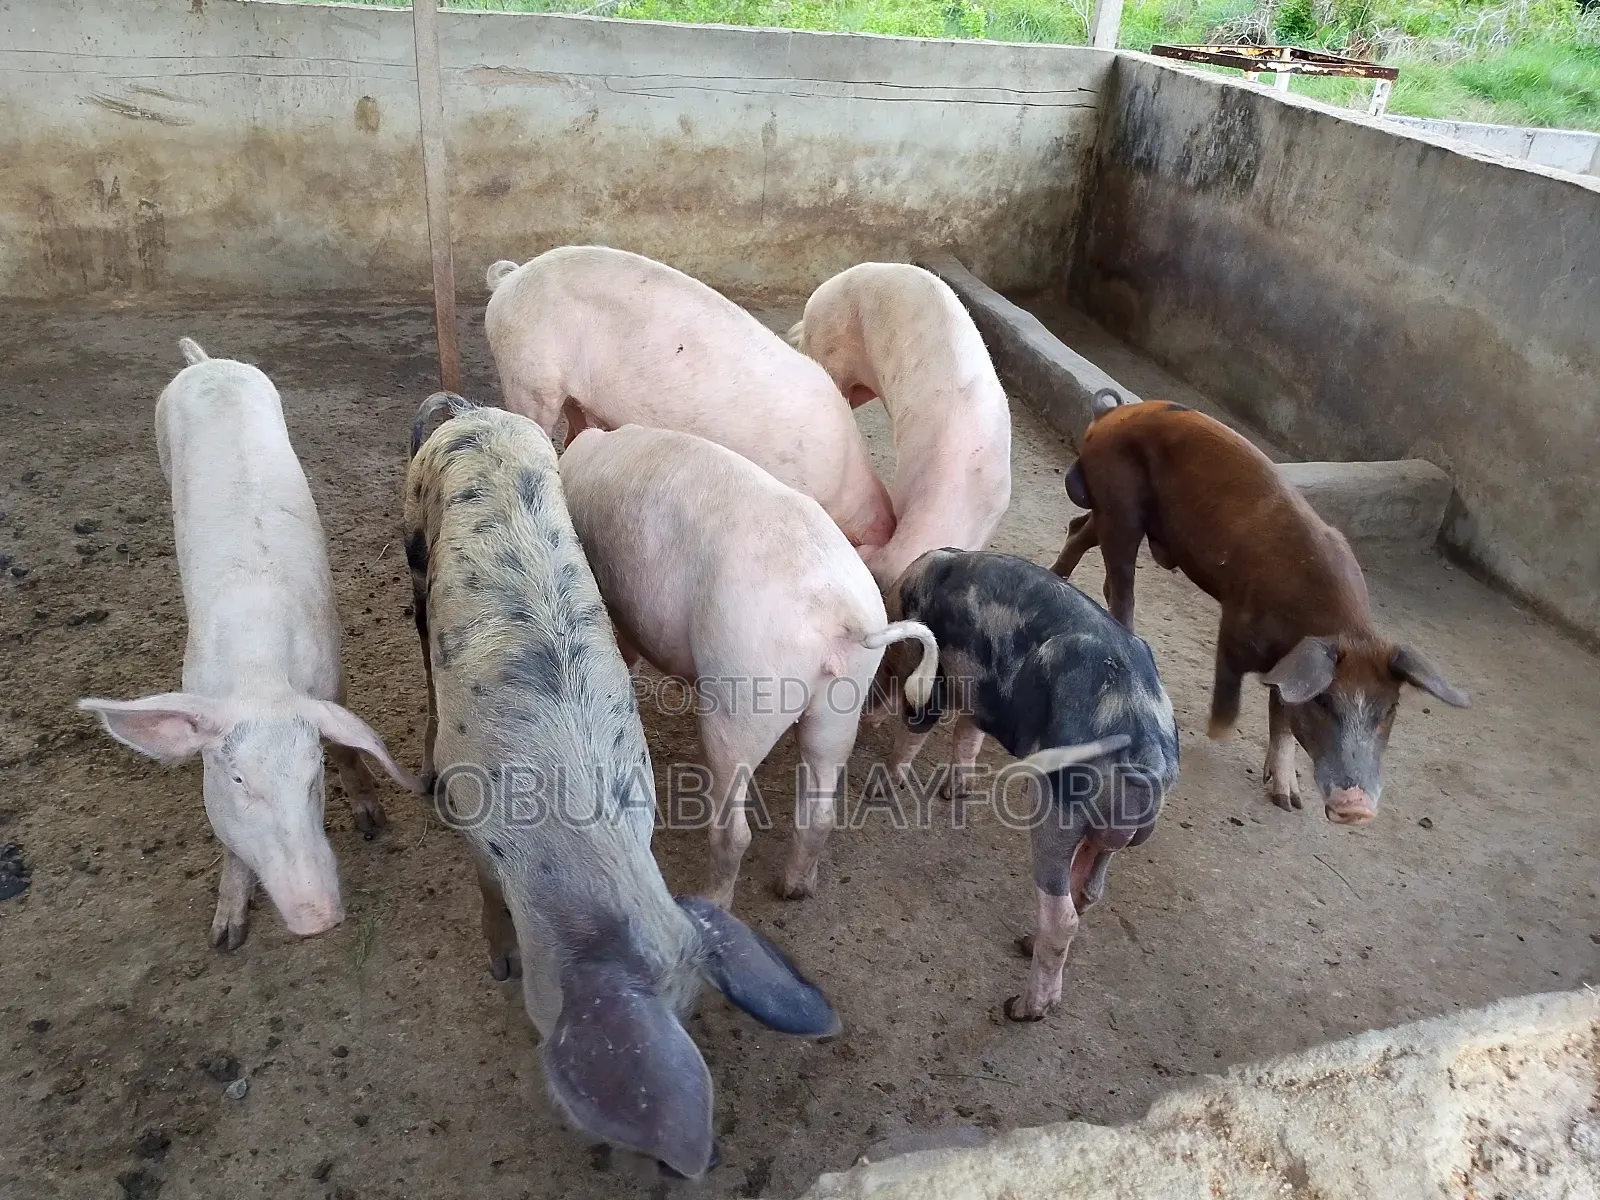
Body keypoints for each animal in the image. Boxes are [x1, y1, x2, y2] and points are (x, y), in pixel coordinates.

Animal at [77, 339, 418, 949]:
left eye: (313, 777)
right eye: (237, 779)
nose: (318, 917)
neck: (261, 676)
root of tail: (205, 363)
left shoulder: (331, 678)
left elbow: (348, 746)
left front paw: (373, 824)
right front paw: (225, 938)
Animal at [404, 394, 840, 1179]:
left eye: (693, 1011)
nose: (692, 1165)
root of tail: (473, 411)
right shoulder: (474, 813)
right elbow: (483, 890)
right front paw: (500, 966)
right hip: (413, 535)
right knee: (421, 644)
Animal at [558, 423, 939, 909]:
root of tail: (841, 616)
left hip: (743, 694)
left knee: (735, 828)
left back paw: (713, 898)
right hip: (841, 701)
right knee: (820, 809)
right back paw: (794, 889)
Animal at [875, 549, 1177, 1021]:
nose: (867, 707)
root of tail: (1150, 754)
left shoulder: (935, 676)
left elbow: (916, 730)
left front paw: (880, 789)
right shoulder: (980, 697)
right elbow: (967, 735)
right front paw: (956, 792)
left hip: (1057, 812)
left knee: (1063, 915)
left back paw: (1022, 1009)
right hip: (1106, 834)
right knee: (1088, 891)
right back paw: (1025, 943)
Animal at [1051, 396, 1468, 823]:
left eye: (1390, 709)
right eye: (1324, 702)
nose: (1356, 808)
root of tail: (1109, 416)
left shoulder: (1288, 668)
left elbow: (1281, 719)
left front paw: (1288, 802)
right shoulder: (1236, 628)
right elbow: (1230, 699)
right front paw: (1216, 733)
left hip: (1115, 512)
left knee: (1079, 529)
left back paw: (1058, 577)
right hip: (1121, 504)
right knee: (1119, 585)